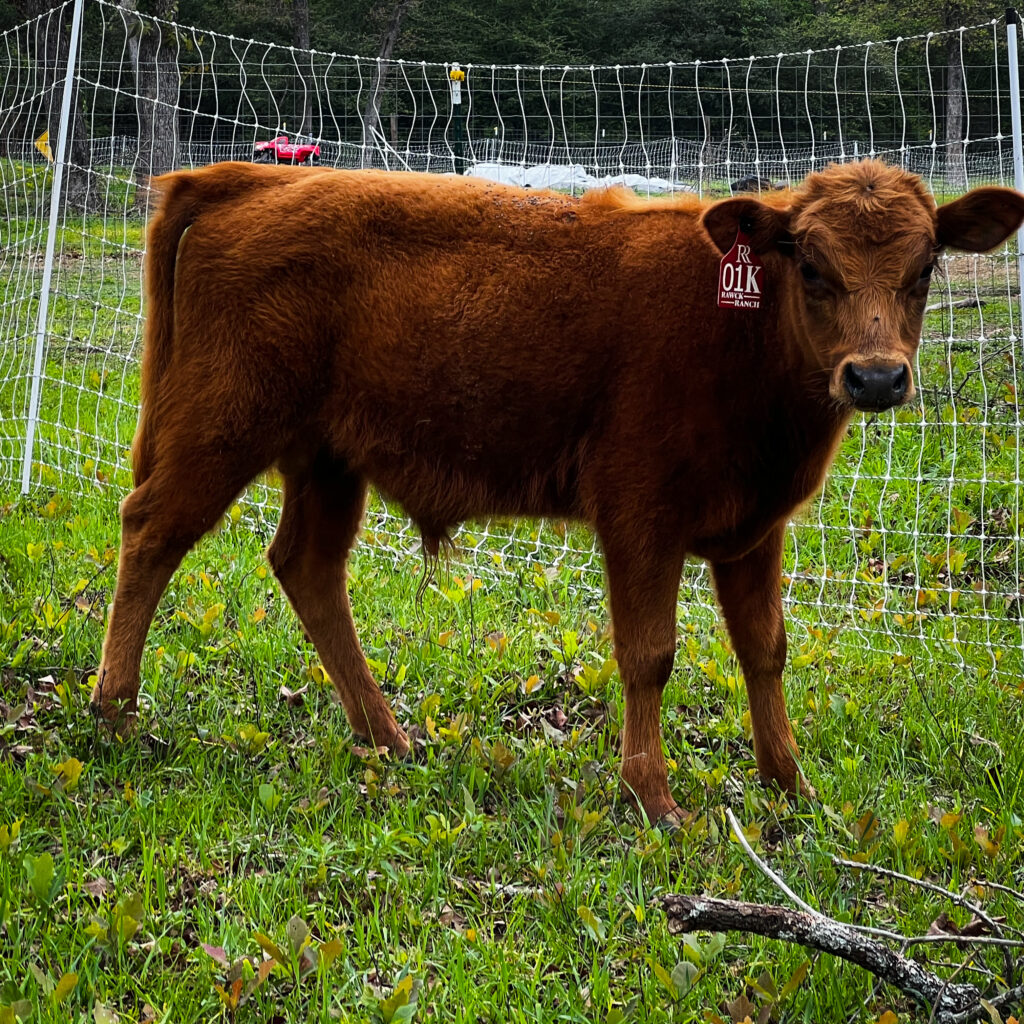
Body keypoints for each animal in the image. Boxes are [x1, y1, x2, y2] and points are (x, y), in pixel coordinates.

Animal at [92, 163, 1019, 827]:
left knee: (307, 568)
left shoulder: (756, 529)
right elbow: (650, 654)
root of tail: (251, 177)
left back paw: (386, 736)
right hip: (222, 426)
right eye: (812, 263)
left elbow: (765, 649)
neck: (737, 333)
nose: (876, 377)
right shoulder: (641, 516)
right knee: (151, 530)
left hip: (326, 459)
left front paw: (791, 784)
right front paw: (654, 797)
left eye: (926, 266)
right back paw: (115, 713)